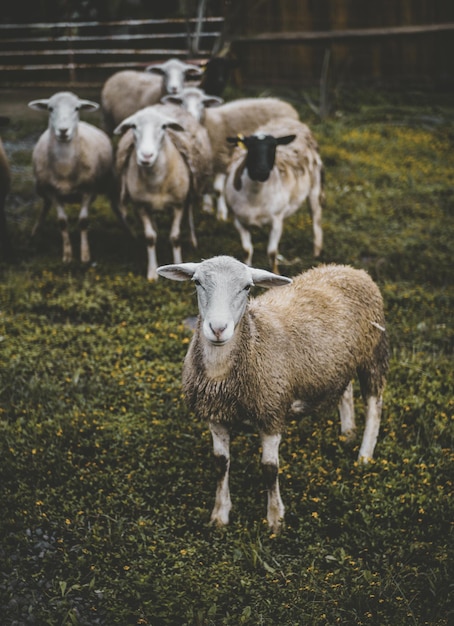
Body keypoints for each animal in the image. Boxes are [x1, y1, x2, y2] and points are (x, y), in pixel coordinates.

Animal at [29, 89, 123, 260]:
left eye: (77, 108)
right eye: (50, 108)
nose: (63, 131)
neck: (65, 167)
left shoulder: (88, 190)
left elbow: (83, 221)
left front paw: (85, 255)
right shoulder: (53, 192)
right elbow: (62, 222)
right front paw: (67, 255)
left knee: (117, 207)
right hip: (42, 188)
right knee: (45, 206)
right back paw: (35, 233)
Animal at [113, 102, 213, 280]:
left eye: (164, 127)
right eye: (133, 126)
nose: (146, 156)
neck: (156, 181)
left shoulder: (178, 205)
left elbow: (175, 237)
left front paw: (178, 263)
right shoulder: (141, 206)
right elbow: (150, 237)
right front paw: (152, 272)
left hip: (189, 194)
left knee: (189, 214)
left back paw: (193, 240)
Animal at [158, 254, 388, 532]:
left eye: (247, 287)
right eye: (197, 282)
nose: (218, 328)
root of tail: (349, 270)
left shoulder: (272, 411)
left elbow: (269, 469)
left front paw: (275, 519)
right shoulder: (216, 416)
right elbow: (221, 464)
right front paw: (220, 515)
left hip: (373, 351)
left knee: (375, 403)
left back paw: (364, 455)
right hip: (337, 362)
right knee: (344, 389)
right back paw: (348, 433)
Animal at [161, 85, 300, 217]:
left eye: (203, 103)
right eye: (181, 102)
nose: (190, 116)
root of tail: (286, 105)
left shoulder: (223, 159)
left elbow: (218, 190)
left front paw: (221, 214)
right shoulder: (206, 161)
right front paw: (207, 207)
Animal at [225, 118, 324, 272]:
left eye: (273, 147)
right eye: (250, 146)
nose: (262, 171)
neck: (255, 197)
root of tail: (290, 120)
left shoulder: (277, 220)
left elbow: (272, 252)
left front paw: (275, 272)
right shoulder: (238, 220)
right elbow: (247, 250)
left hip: (315, 185)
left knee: (316, 217)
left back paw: (316, 252)